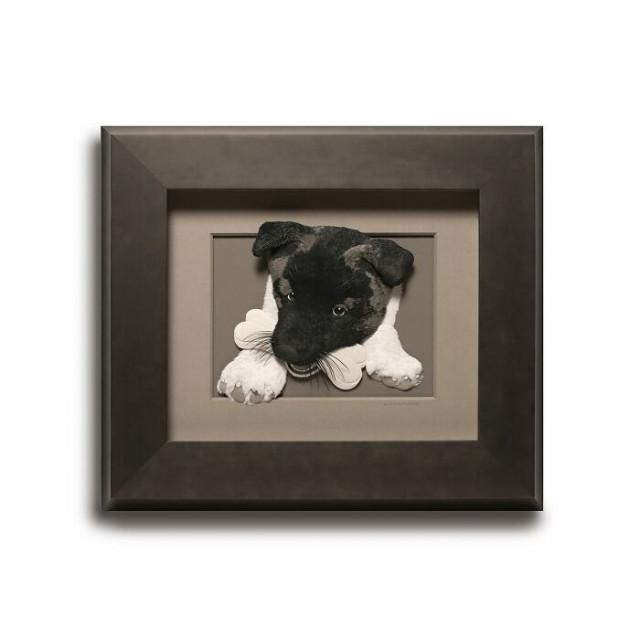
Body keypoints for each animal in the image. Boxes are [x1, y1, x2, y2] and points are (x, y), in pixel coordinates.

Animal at [217, 221, 423, 404]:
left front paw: (395, 363)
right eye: (291, 295)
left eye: (339, 310)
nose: (287, 351)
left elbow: (384, 324)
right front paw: (250, 374)